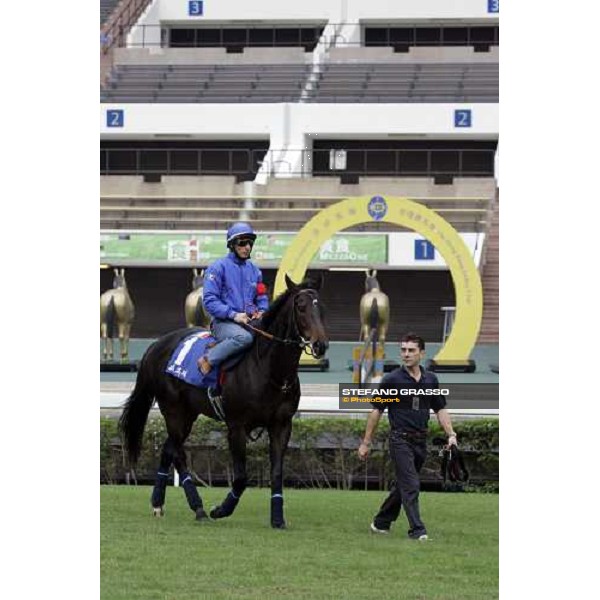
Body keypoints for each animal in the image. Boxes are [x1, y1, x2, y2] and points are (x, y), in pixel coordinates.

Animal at [117, 274, 328, 528]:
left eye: (321, 308)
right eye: (301, 306)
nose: (320, 345)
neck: (268, 369)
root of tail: (156, 346)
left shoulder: (282, 425)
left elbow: (277, 472)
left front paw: (277, 518)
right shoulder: (236, 426)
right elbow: (241, 477)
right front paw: (221, 509)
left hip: (188, 414)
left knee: (168, 449)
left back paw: (159, 503)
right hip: (174, 411)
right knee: (178, 453)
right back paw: (197, 507)